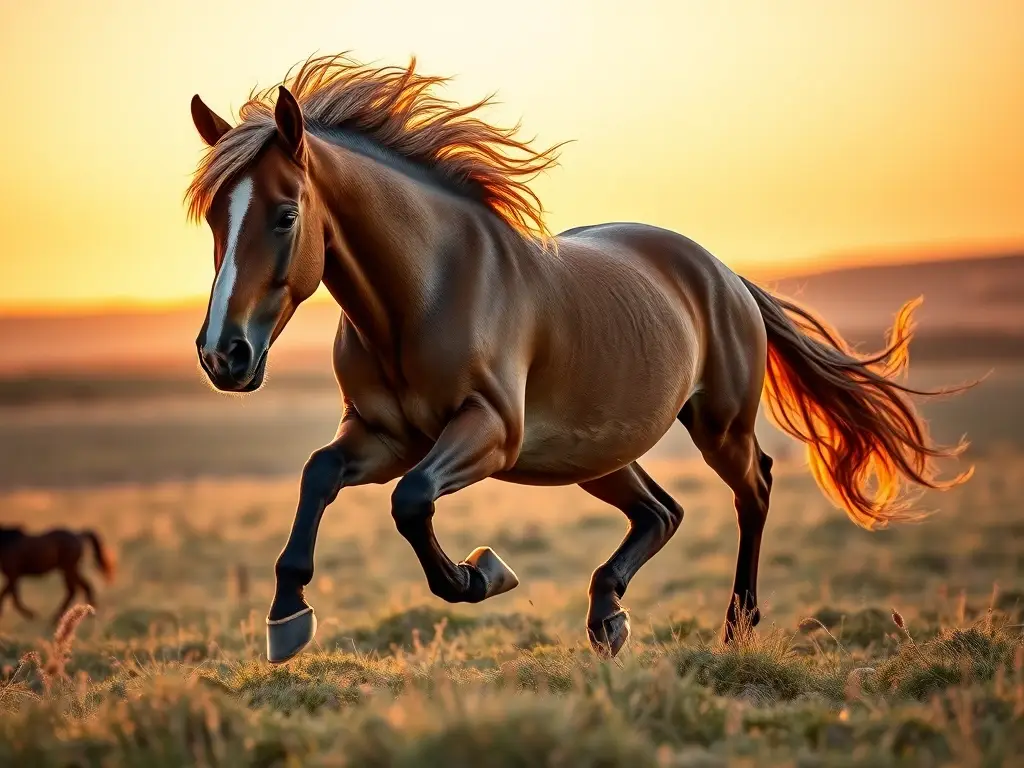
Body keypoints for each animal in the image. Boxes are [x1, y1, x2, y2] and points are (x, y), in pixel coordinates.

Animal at [185, 54, 973, 664]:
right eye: (215, 217)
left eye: (286, 215)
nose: (224, 355)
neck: (424, 293)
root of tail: (724, 274)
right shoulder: (382, 435)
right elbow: (320, 475)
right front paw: (286, 617)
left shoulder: (490, 432)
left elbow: (411, 501)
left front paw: (482, 574)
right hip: (593, 455)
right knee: (662, 512)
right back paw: (607, 615)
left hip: (716, 426)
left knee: (754, 489)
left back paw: (736, 626)